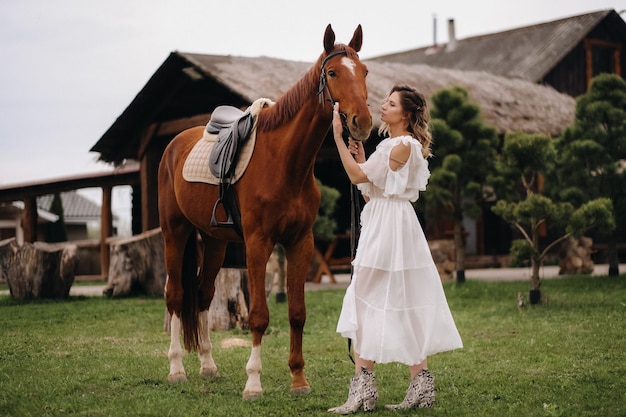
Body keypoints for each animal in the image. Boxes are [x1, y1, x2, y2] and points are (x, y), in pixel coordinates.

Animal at [157, 23, 370, 400]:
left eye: (364, 72)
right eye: (332, 73)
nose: (363, 122)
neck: (284, 162)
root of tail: (174, 144)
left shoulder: (300, 242)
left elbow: (297, 312)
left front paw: (299, 380)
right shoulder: (258, 244)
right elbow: (259, 315)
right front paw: (253, 383)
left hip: (214, 242)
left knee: (204, 295)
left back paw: (208, 366)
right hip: (175, 233)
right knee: (176, 296)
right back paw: (177, 369)